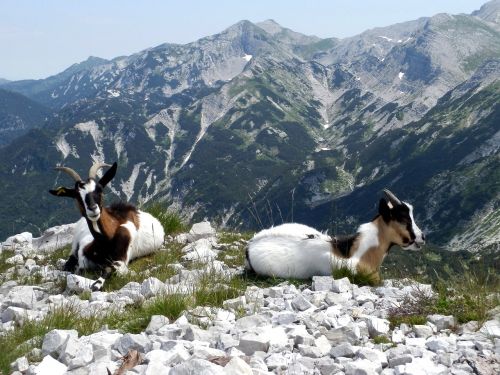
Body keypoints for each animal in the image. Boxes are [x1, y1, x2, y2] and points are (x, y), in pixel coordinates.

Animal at [50, 162, 165, 290]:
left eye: (99, 189)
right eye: (77, 195)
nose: (93, 209)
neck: (105, 243)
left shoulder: (122, 259)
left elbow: (110, 268)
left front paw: (97, 284)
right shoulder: (83, 252)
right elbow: (81, 266)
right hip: (75, 242)